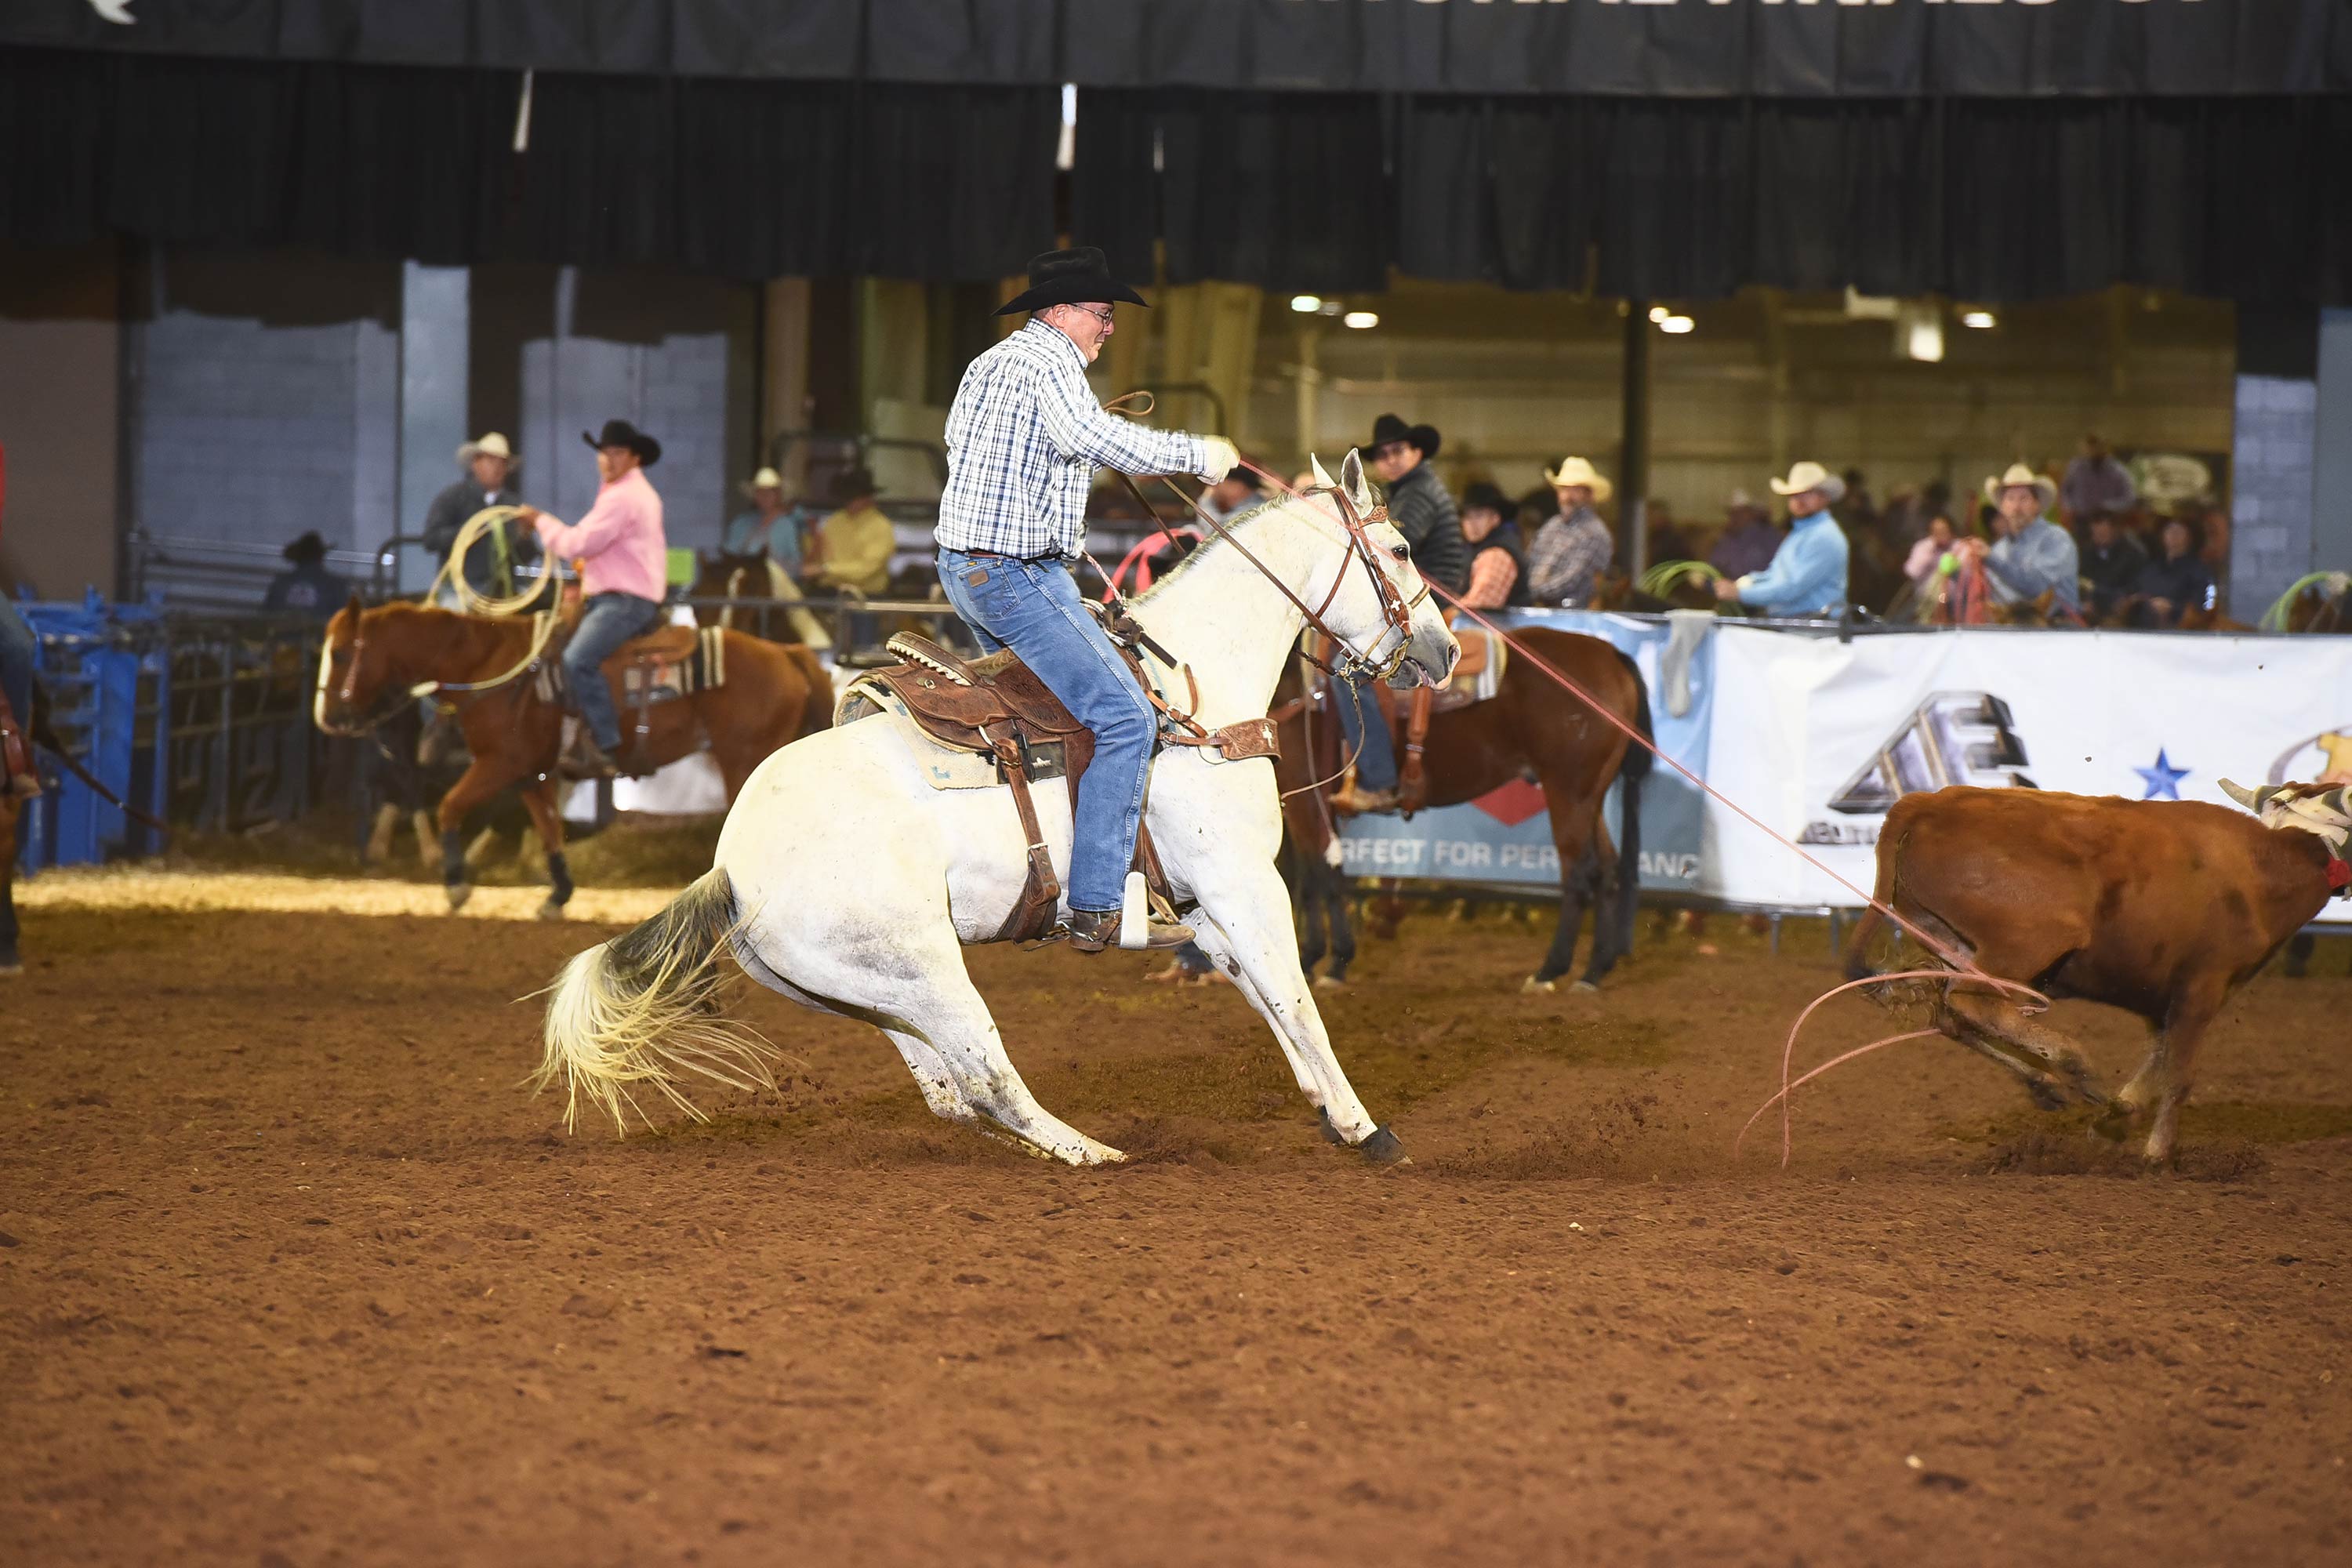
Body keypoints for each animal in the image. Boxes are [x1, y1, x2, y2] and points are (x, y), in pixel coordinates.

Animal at [308, 601, 833, 921]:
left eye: (341, 653)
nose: (326, 717)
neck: (490, 667)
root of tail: (787, 652)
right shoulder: (531, 772)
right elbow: (547, 829)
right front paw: (557, 896)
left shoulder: (500, 763)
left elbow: (450, 806)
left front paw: (456, 884)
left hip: (745, 761)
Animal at [539, 453, 1449, 1166]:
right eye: (1401, 549)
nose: (1442, 652)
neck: (1190, 690)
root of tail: (732, 864)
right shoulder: (1243, 883)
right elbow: (1297, 1001)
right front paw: (1369, 1129)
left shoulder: (1202, 904)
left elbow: (1267, 999)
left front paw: (1331, 1114)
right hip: (928, 966)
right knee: (989, 1078)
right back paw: (1095, 1151)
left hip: (872, 991)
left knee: (951, 1091)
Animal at [1270, 625, 1656, 992]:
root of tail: (1610, 654)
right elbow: (1308, 879)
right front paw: (1313, 958)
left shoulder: (1306, 798)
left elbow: (1323, 876)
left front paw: (1332, 962)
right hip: (1590, 794)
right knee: (1606, 869)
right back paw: (1593, 972)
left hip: (1567, 790)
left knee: (1578, 873)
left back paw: (1549, 971)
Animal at [1844, 785, 2343, 1166]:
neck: (2262, 869)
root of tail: (1928, 802)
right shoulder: (2203, 985)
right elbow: (2179, 1074)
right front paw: (2158, 1153)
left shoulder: (2165, 997)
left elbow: (2159, 1055)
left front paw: (2118, 1118)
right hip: (2033, 937)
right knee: (1972, 1003)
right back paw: (2073, 1064)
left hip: (1949, 942)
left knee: (1952, 1016)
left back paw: (2049, 1084)